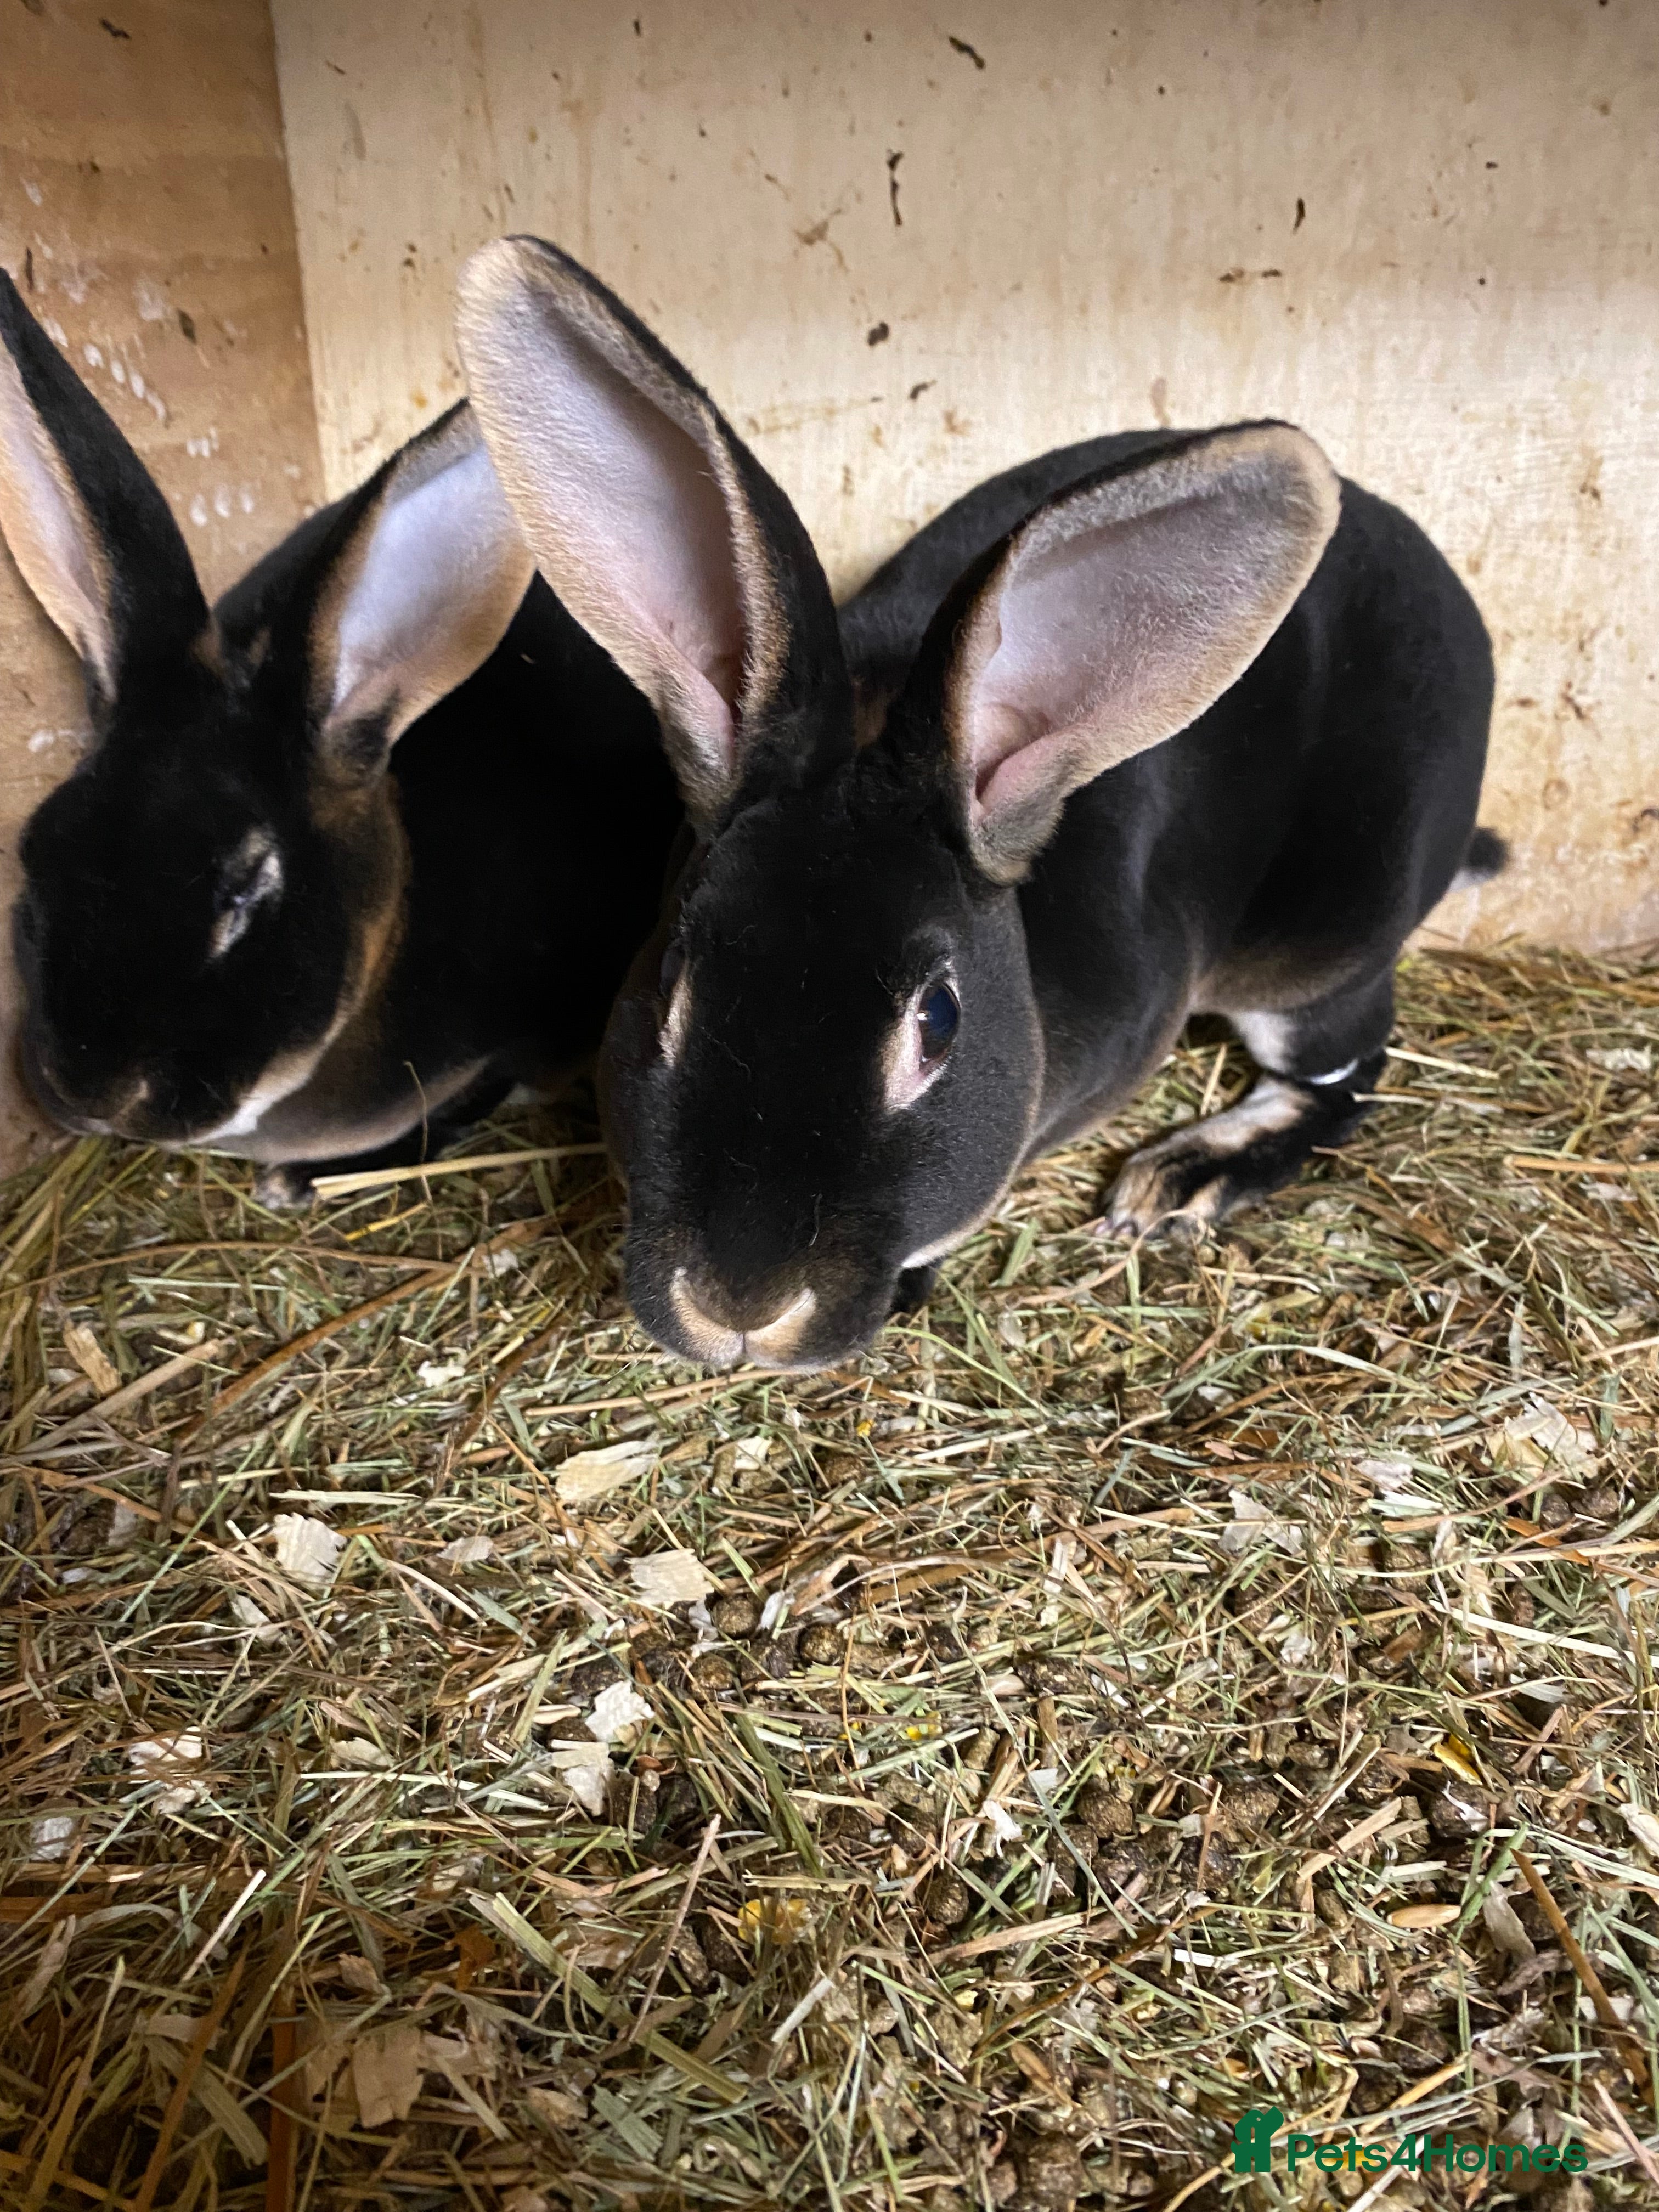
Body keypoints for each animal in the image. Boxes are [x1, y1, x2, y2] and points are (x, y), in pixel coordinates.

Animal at [455, 236, 1500, 1372]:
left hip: (1318, 954)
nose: (737, 1307)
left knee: (1345, 1072)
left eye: (939, 1022)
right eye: (671, 983)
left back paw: (1176, 1178)